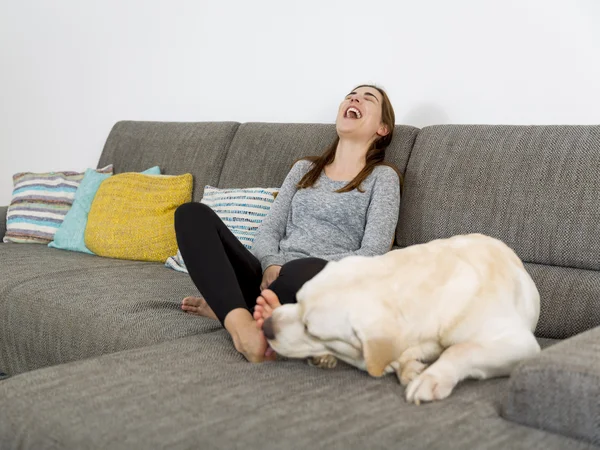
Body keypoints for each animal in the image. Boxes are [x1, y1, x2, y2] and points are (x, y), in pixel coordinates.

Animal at [264, 234, 540, 406]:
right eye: (297, 299)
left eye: (310, 329)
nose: (265, 327)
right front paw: (409, 368)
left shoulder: (520, 343)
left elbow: (461, 350)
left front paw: (431, 377)